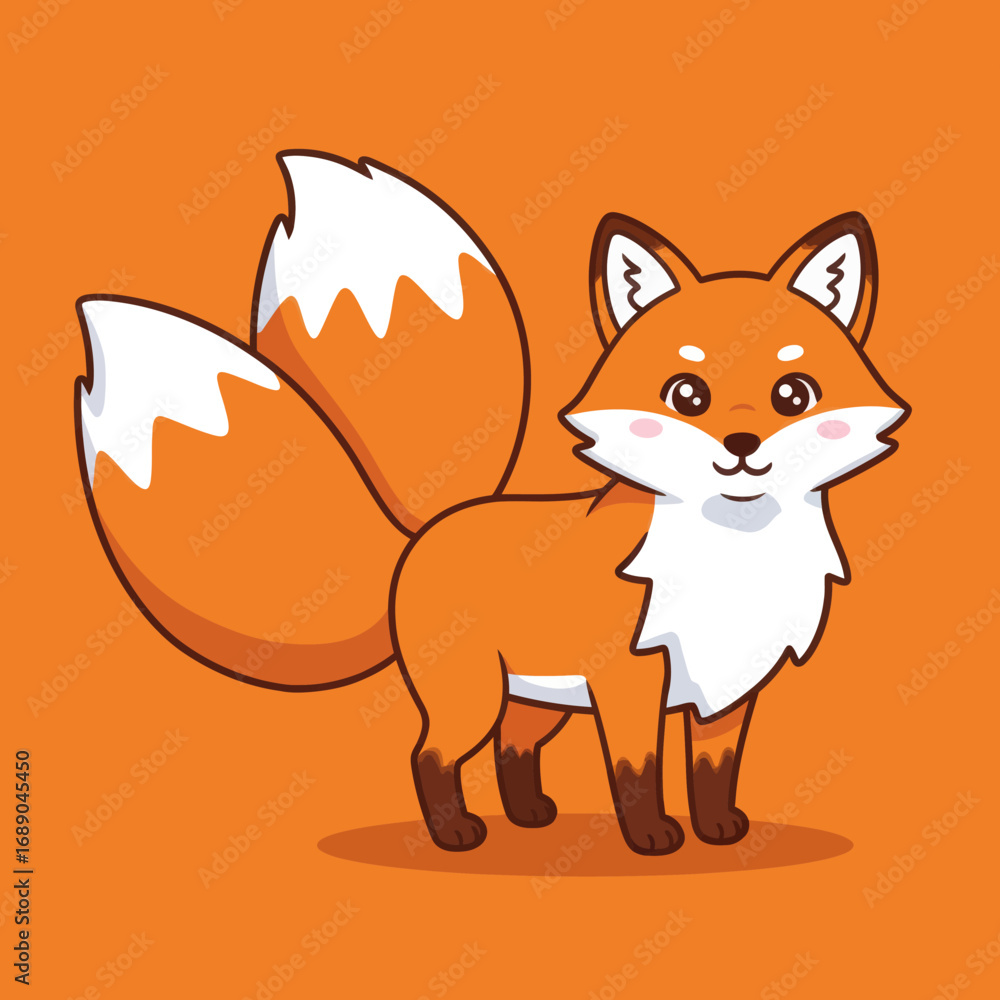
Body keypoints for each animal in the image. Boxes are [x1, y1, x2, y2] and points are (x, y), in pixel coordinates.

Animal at [74, 149, 908, 856]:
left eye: (793, 394)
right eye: (686, 394)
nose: (739, 444)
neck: (734, 561)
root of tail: (423, 534)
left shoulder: (728, 690)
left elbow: (713, 773)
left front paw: (720, 831)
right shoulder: (631, 686)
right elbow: (637, 773)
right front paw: (651, 839)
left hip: (538, 700)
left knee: (512, 748)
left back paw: (530, 815)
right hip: (472, 695)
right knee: (430, 753)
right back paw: (456, 834)